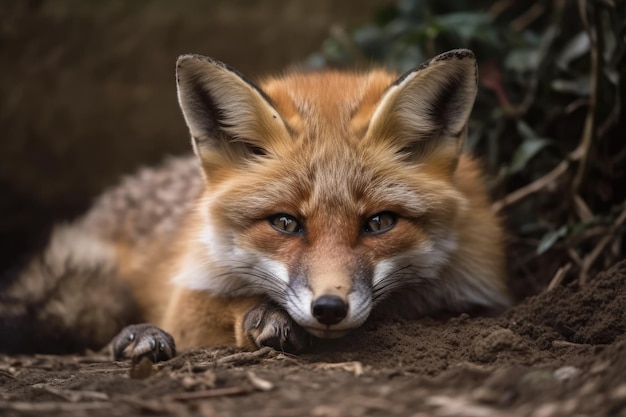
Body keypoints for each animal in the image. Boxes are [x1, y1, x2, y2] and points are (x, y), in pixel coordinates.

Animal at [0, 49, 508, 360]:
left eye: (380, 222)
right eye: (285, 222)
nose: (329, 308)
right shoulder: (187, 291)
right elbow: (223, 305)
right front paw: (264, 316)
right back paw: (138, 336)